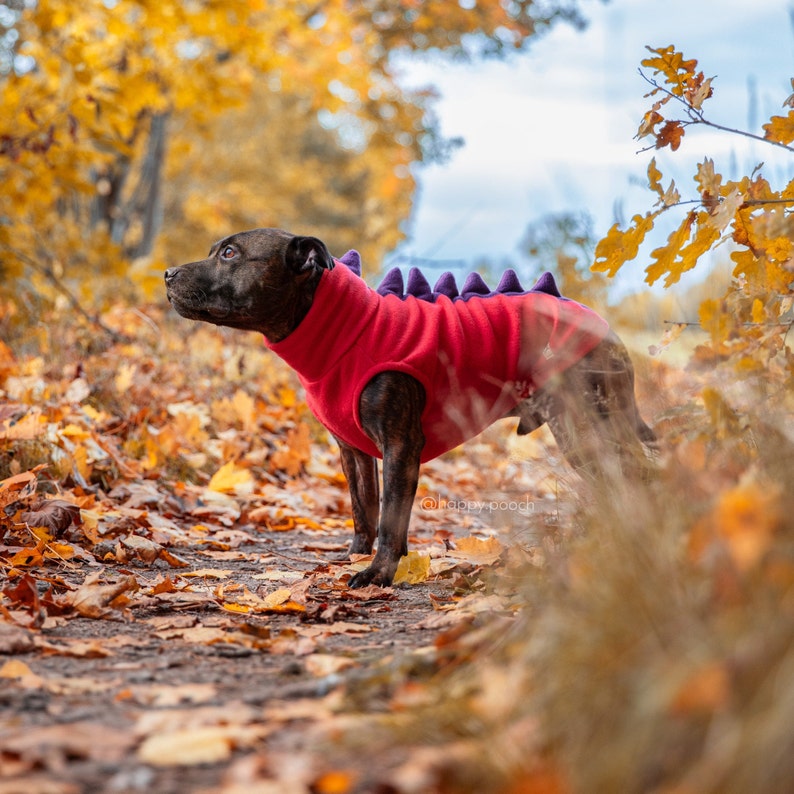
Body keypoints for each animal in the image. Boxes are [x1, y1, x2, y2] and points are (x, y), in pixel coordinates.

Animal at [164, 226, 652, 584]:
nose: (167, 272)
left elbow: (390, 516)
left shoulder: (400, 445)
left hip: (586, 427)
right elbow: (365, 510)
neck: (345, 334)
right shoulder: (355, 452)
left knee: (630, 477)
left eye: (230, 253)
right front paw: (357, 557)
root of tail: (605, 328)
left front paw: (379, 573)